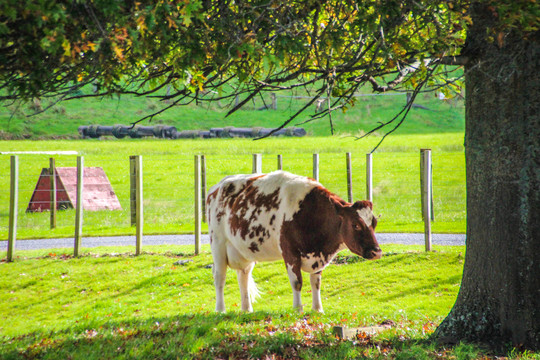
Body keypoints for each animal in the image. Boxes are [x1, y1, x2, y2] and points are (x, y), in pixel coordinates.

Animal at [205, 169, 382, 312]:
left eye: (374, 223)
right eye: (356, 225)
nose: (377, 252)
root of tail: (217, 187)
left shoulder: (318, 255)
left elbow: (316, 282)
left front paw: (318, 309)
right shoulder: (290, 252)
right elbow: (297, 282)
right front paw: (298, 309)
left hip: (243, 251)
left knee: (243, 276)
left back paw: (247, 310)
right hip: (218, 243)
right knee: (219, 277)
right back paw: (220, 310)